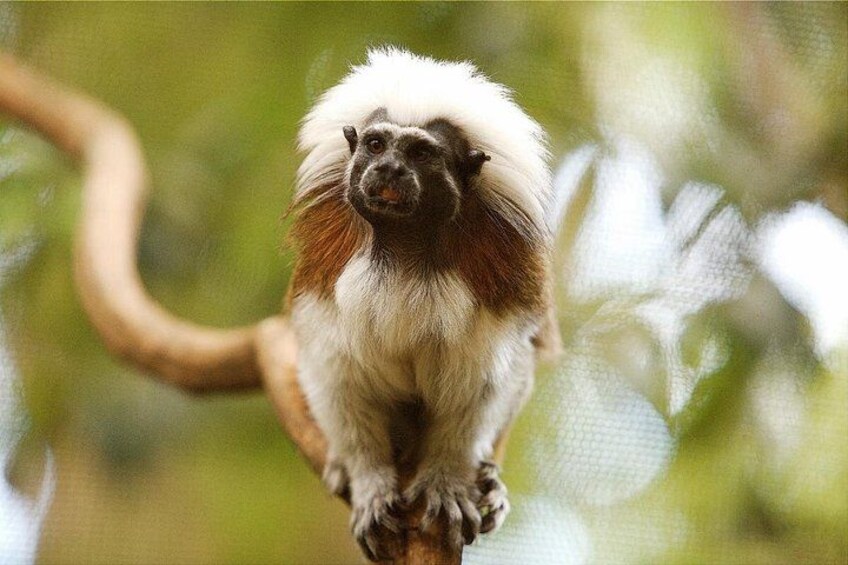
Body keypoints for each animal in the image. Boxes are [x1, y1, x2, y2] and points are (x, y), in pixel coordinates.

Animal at [287, 48, 557, 561]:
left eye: (421, 153)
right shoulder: (324, 281)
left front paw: (447, 482)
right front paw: (369, 483)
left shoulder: (501, 289)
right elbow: (337, 379)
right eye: (376, 145)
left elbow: (480, 388)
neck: (404, 253)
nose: (390, 169)